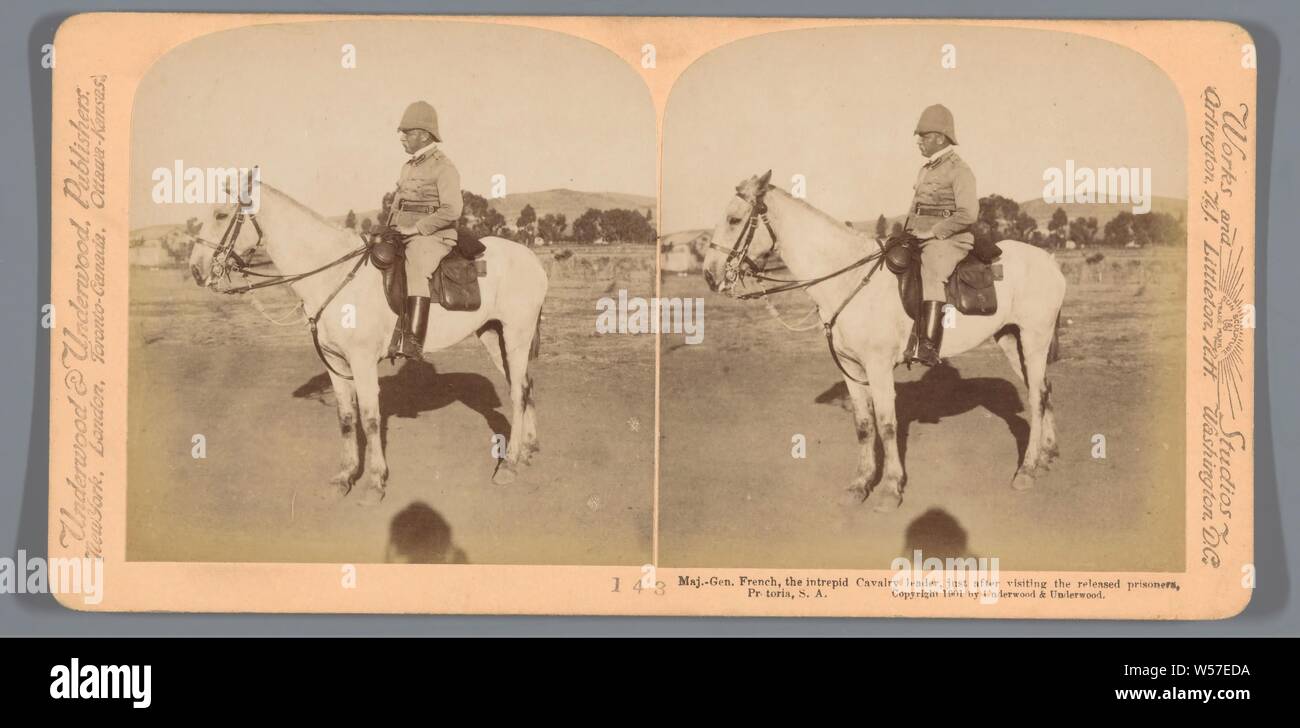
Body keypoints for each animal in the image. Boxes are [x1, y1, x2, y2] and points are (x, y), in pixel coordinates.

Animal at [187, 184, 543, 506]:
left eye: (220, 214)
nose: (196, 269)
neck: (335, 276)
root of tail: (531, 258)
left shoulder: (361, 362)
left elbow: (371, 419)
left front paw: (375, 483)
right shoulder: (336, 363)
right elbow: (347, 419)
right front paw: (345, 477)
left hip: (516, 335)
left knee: (517, 393)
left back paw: (509, 464)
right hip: (493, 336)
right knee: (525, 386)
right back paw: (528, 450)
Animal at [707, 170, 1060, 512]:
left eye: (734, 219)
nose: (710, 275)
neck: (848, 279)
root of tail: (1049, 260)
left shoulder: (878, 367)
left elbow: (887, 423)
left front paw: (890, 488)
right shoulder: (851, 368)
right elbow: (864, 425)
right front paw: (860, 484)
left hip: (1035, 339)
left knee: (1036, 398)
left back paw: (1026, 470)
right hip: (1011, 340)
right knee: (1042, 391)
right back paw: (1047, 456)